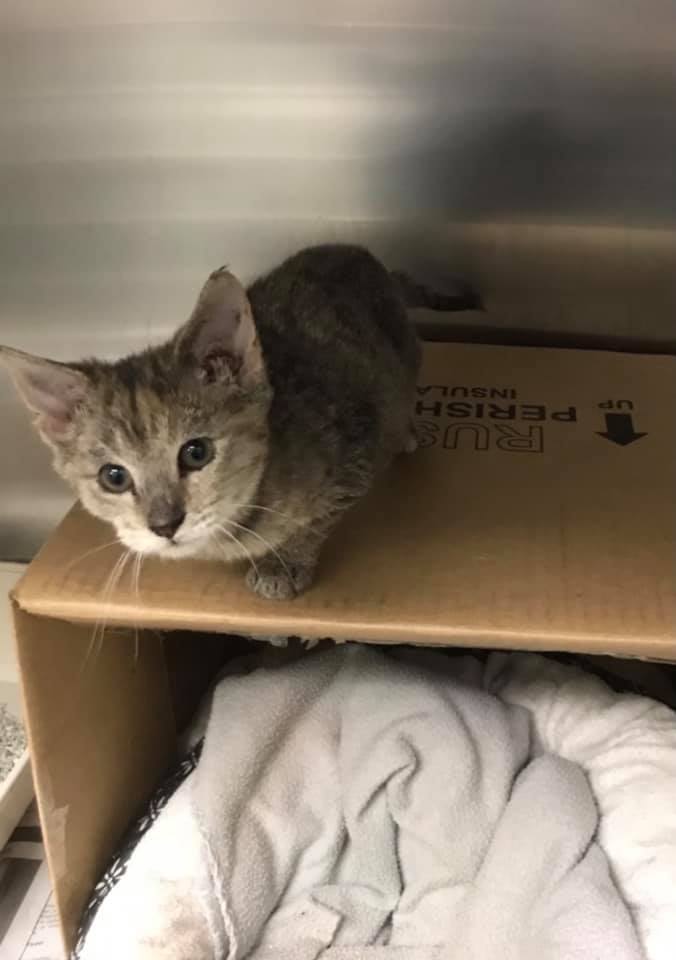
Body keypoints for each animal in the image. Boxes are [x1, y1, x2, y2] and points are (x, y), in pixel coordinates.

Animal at [0, 244, 478, 599]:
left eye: (197, 452)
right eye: (113, 477)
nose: (164, 525)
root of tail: (359, 253)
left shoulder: (357, 444)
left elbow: (318, 518)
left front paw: (285, 562)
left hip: (403, 356)